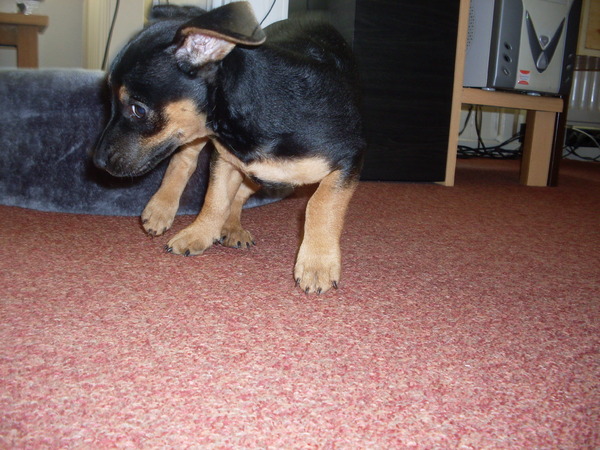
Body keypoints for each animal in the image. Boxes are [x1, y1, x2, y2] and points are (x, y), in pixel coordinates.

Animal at [94, 2, 365, 294]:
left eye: (138, 110)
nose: (97, 162)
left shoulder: (349, 157)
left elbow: (321, 204)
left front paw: (317, 264)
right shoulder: (224, 158)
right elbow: (215, 200)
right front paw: (198, 234)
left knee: (241, 194)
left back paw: (232, 228)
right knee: (184, 161)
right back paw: (161, 208)